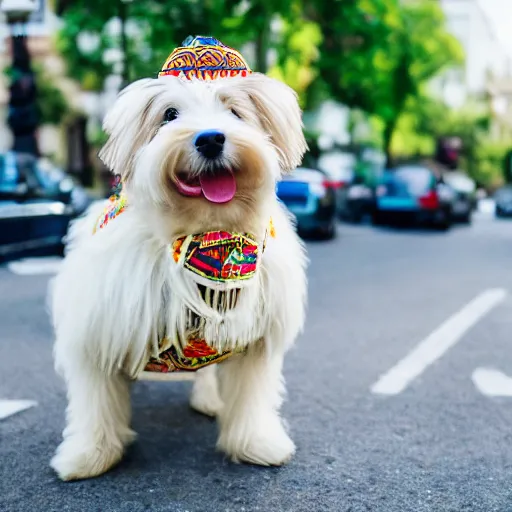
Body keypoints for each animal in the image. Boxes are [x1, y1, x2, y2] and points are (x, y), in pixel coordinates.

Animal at [49, 36, 308, 480]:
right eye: (169, 114)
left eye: (235, 111)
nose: (210, 139)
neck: (204, 234)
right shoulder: (99, 328)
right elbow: (95, 401)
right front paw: (89, 456)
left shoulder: (256, 336)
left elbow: (252, 396)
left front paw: (257, 444)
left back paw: (210, 401)